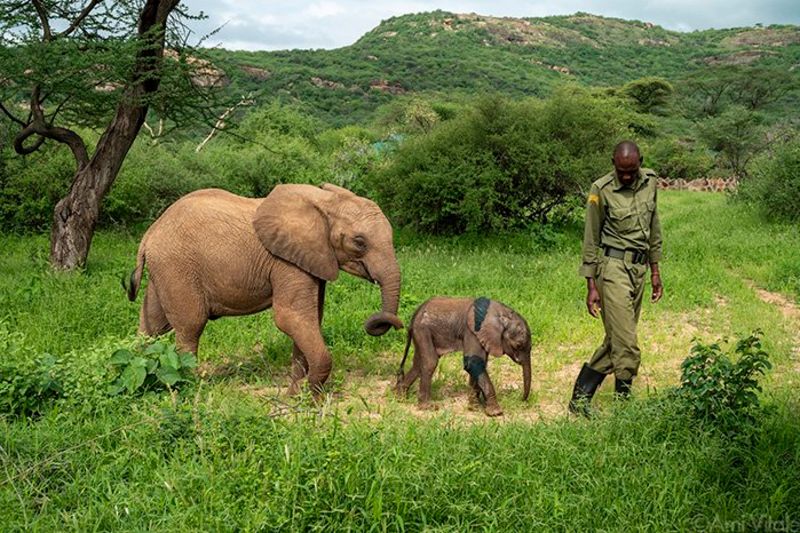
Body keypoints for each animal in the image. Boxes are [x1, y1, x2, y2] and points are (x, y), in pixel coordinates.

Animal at [128, 184, 404, 394]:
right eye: (359, 242)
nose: (381, 323)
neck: (323, 201)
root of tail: (149, 233)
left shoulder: (312, 259)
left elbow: (310, 319)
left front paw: (296, 394)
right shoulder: (285, 262)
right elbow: (290, 317)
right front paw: (310, 398)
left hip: (165, 270)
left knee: (153, 325)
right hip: (177, 267)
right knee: (190, 326)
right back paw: (191, 387)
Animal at [396, 296, 532, 416]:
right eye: (518, 345)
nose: (522, 400)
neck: (502, 313)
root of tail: (414, 315)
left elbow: (478, 364)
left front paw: (474, 407)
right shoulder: (472, 331)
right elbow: (472, 364)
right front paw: (495, 412)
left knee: (418, 364)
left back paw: (400, 397)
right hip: (423, 330)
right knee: (430, 362)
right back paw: (428, 407)